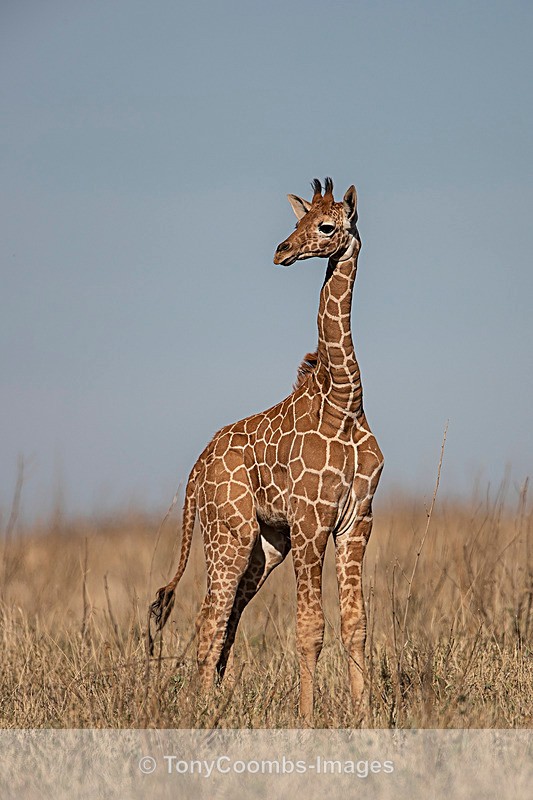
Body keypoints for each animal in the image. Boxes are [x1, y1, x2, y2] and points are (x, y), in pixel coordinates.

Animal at [148, 178, 384, 722]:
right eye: (300, 221)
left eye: (326, 226)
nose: (283, 250)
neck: (345, 400)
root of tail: (195, 471)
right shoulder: (311, 520)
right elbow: (310, 628)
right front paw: (307, 718)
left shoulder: (356, 519)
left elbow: (356, 625)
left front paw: (365, 716)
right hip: (227, 534)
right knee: (208, 617)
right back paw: (199, 710)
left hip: (264, 545)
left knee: (228, 618)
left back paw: (214, 700)